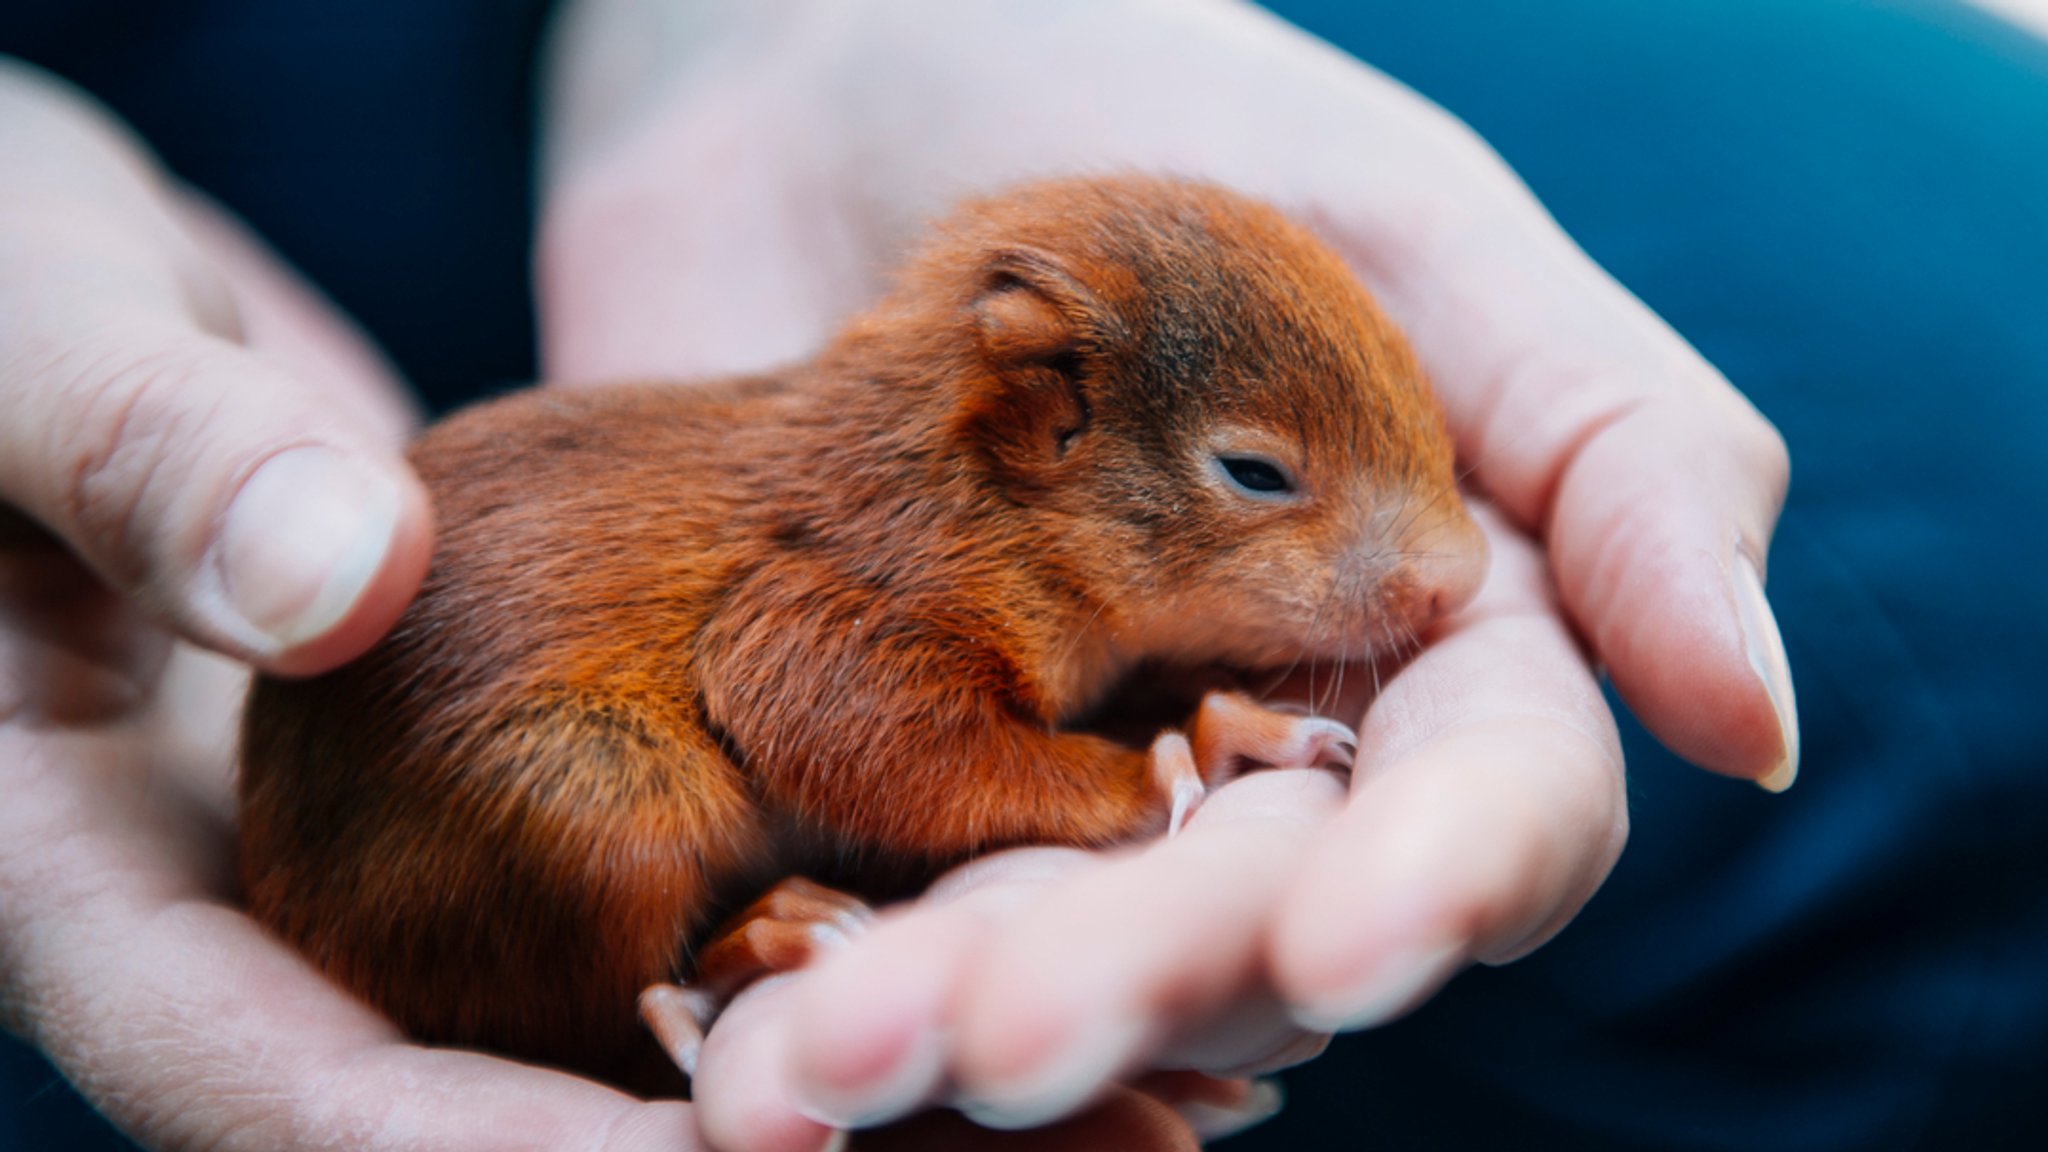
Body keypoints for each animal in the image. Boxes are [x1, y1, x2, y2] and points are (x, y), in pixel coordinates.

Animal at [239, 170, 1490, 1082]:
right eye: (1252, 472)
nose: (1462, 579)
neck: (982, 495)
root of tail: (287, 897)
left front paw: (1220, 718)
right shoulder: (843, 602)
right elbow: (867, 741)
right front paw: (1160, 761)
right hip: (585, 812)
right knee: (589, 1013)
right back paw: (743, 954)